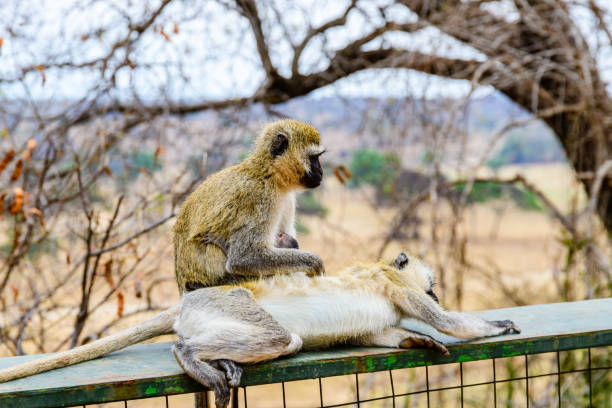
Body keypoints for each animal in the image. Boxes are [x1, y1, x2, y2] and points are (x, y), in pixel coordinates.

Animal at [0, 252, 520, 408]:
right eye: (433, 287)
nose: (436, 291)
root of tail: (186, 301)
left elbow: (379, 337)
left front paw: (416, 339)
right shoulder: (396, 286)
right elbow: (450, 323)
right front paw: (494, 324)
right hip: (231, 302)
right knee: (279, 339)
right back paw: (189, 354)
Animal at [172, 118, 326, 294]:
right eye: (314, 158)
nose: (321, 172)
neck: (271, 175)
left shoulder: (286, 200)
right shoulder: (259, 197)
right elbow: (244, 258)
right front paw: (314, 262)